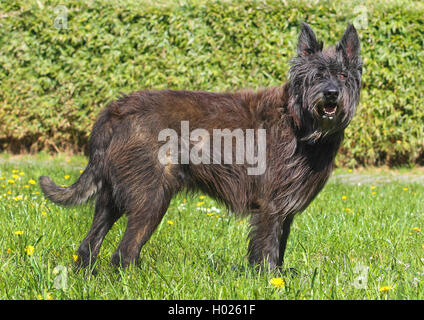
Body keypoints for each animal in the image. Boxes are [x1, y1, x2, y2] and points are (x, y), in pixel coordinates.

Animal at [40, 22, 362, 272]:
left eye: (343, 75)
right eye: (317, 75)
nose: (331, 94)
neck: (299, 121)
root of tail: (117, 109)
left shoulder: (286, 211)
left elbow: (279, 247)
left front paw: (278, 277)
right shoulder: (271, 207)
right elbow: (268, 250)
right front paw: (270, 281)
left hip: (112, 199)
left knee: (89, 244)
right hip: (151, 199)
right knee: (124, 253)